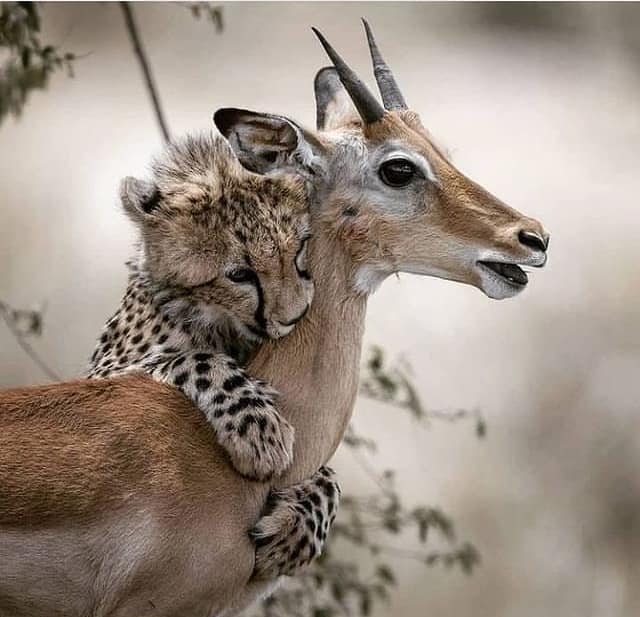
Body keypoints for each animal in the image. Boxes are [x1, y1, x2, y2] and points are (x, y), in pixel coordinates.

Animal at [86, 132, 340, 579]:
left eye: (301, 248)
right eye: (239, 274)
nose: (294, 316)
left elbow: (329, 476)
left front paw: (302, 525)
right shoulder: (101, 380)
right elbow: (195, 359)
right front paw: (259, 430)